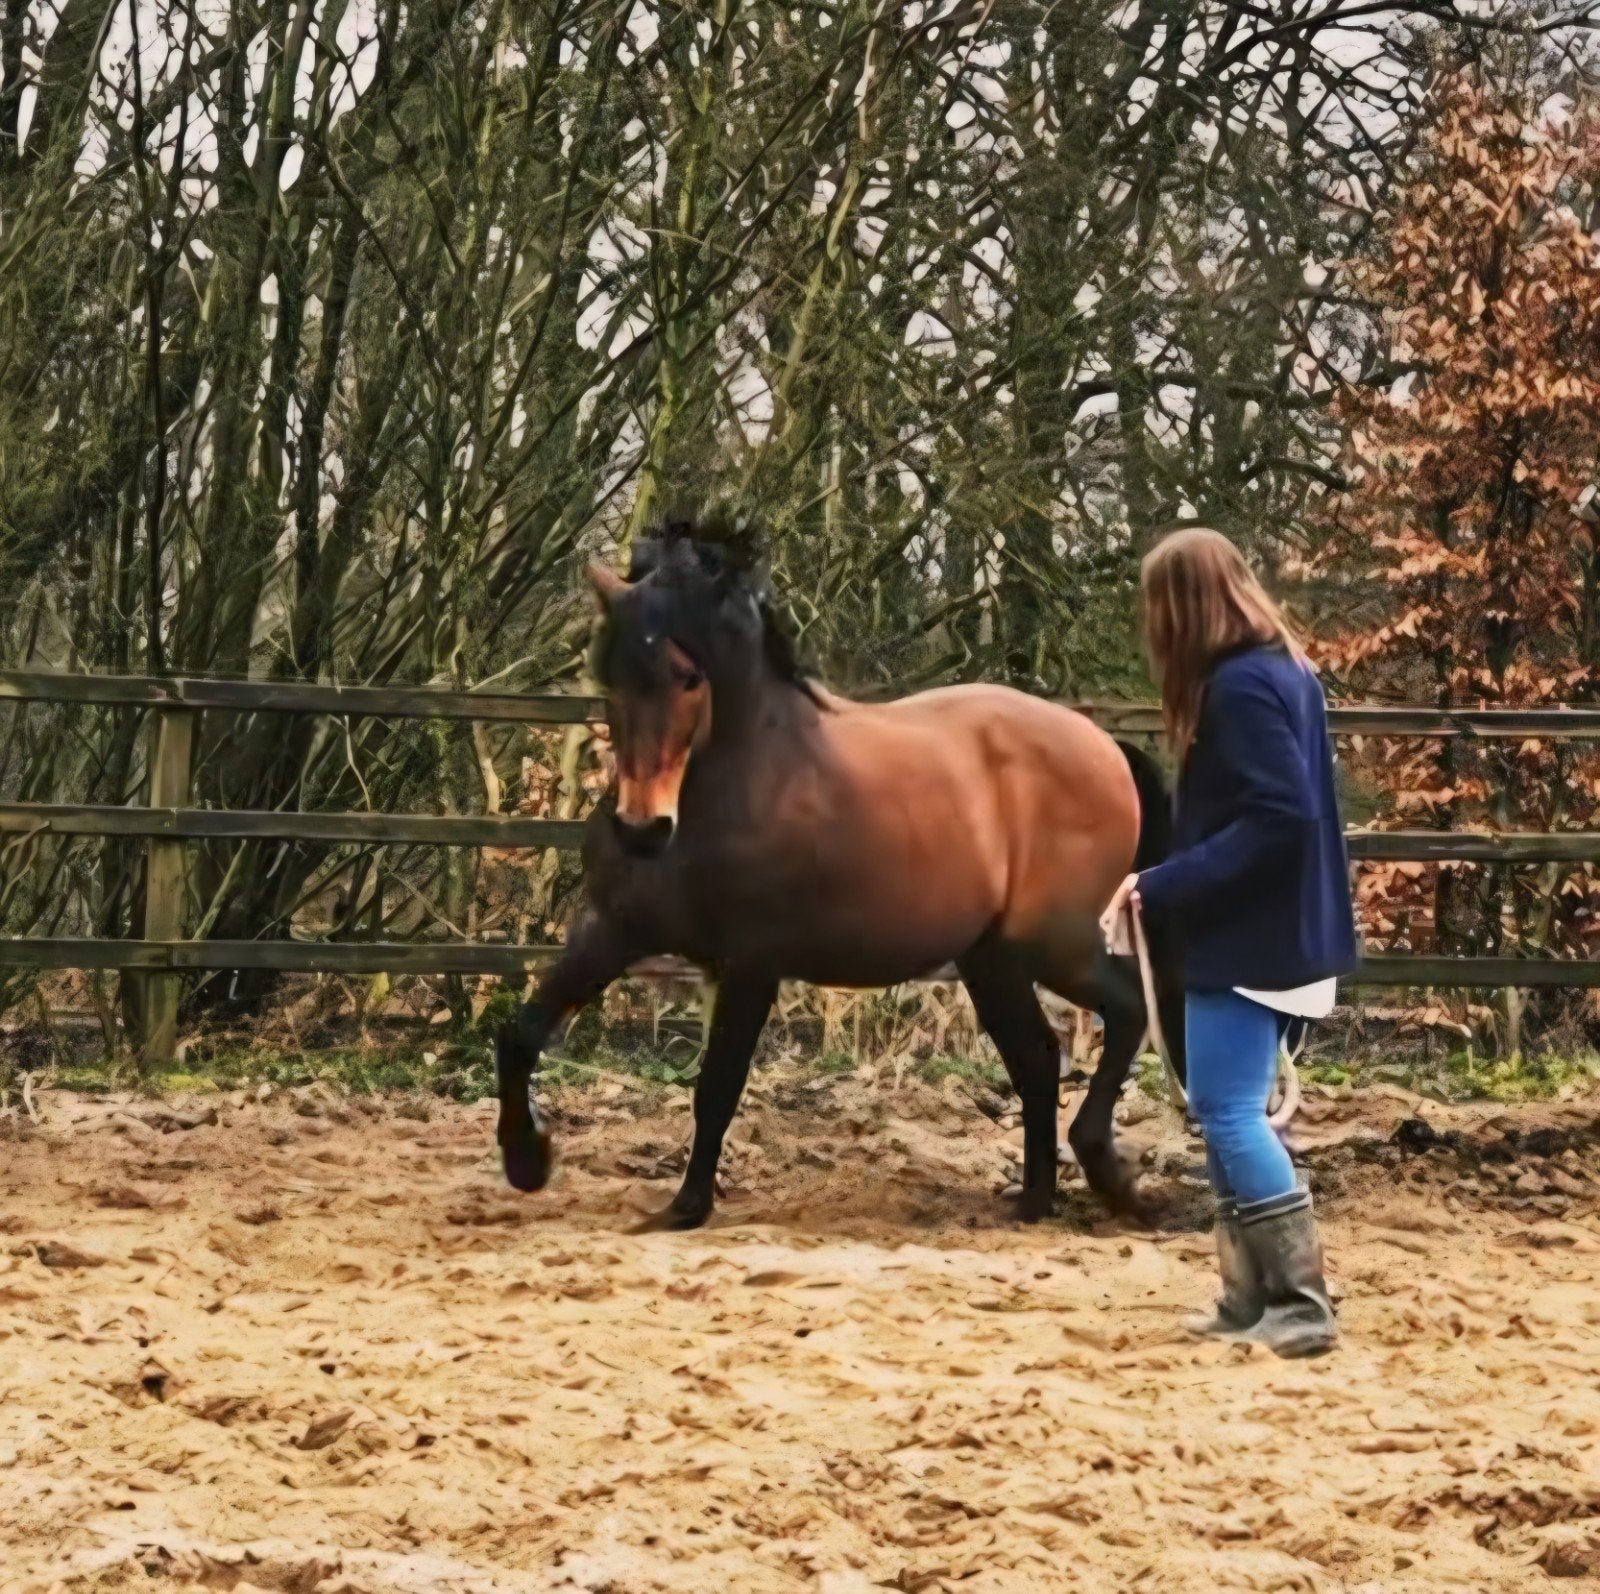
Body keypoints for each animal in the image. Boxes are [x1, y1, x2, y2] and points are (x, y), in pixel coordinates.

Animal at [495, 522, 1186, 1228]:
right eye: (609, 674)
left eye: (689, 676)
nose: (642, 829)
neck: (731, 791)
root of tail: (1104, 746)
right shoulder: (613, 930)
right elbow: (520, 1033)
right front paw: (527, 1162)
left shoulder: (750, 964)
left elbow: (717, 1087)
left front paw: (685, 1208)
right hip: (992, 959)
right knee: (1040, 1059)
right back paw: (1033, 1201)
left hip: (1056, 945)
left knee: (1129, 1012)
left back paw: (1104, 1169)